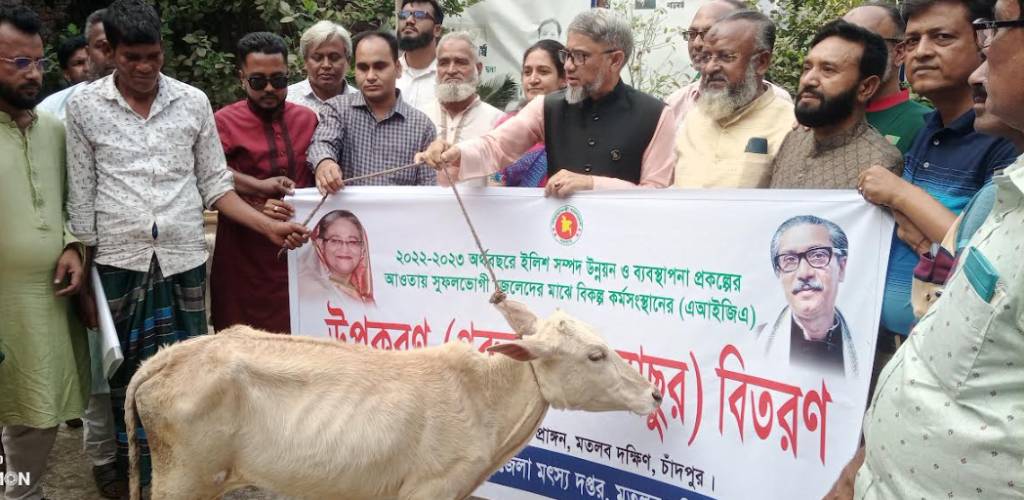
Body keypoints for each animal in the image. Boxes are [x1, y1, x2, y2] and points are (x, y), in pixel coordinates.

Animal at [123, 301, 659, 500]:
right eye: (595, 354)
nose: (654, 393)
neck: (484, 398)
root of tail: (164, 358)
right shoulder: (427, 489)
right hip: (181, 479)